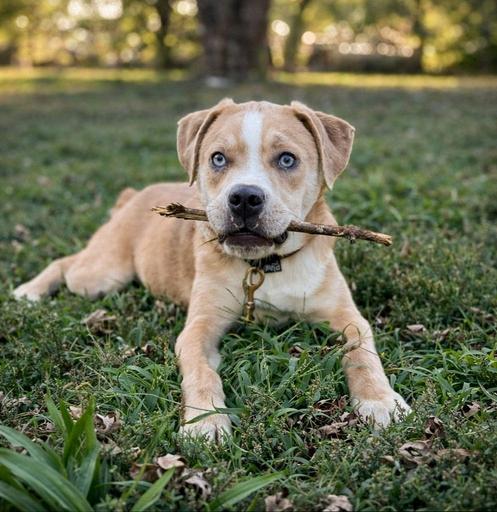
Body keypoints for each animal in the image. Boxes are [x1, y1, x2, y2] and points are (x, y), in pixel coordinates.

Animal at [14, 99, 411, 441]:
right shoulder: (199, 328)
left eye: (287, 159)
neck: (264, 265)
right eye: (218, 158)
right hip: (100, 277)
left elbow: (362, 355)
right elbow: (201, 372)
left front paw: (380, 401)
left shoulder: (347, 316)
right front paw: (206, 421)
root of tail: (135, 195)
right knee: (67, 264)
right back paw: (29, 291)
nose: (245, 198)